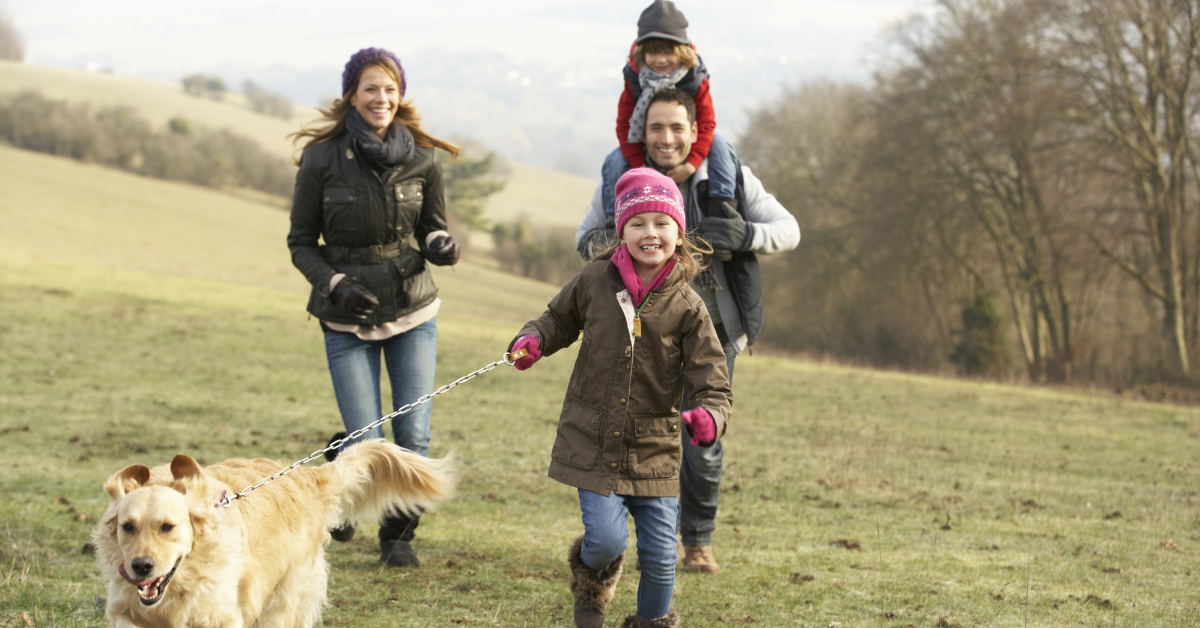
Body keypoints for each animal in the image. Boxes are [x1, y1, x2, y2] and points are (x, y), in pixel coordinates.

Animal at [91, 439, 451, 628]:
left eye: (167, 526)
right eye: (127, 527)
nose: (141, 566)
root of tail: (310, 476)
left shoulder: (221, 617)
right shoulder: (127, 614)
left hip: (283, 597)